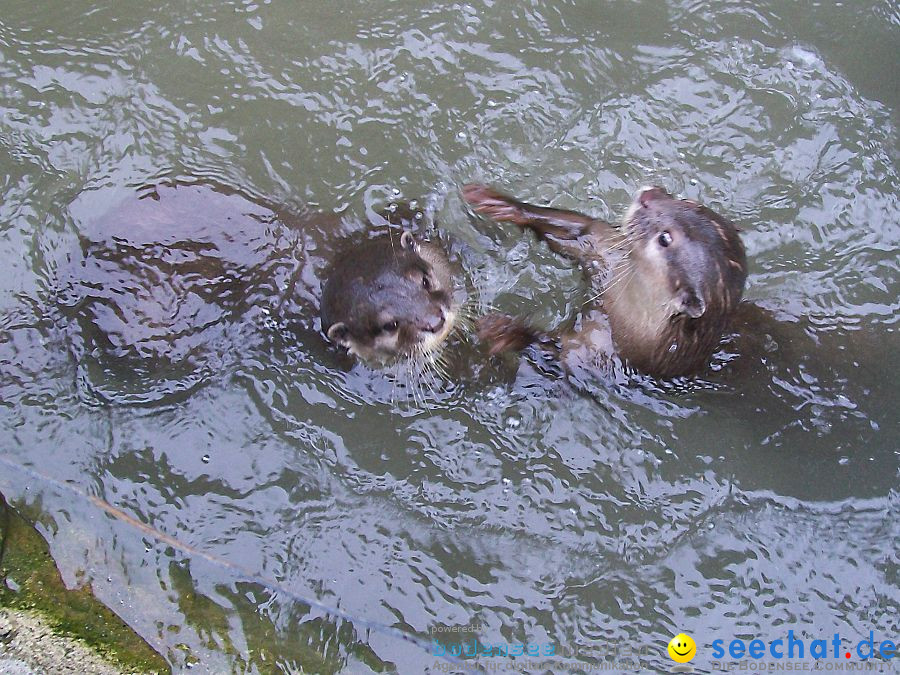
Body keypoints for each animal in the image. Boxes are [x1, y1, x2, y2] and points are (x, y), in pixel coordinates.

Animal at [460, 182, 748, 378]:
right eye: (686, 201)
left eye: (665, 238)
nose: (649, 196)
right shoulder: (605, 251)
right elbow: (578, 228)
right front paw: (500, 203)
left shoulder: (597, 358)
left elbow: (555, 354)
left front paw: (505, 330)